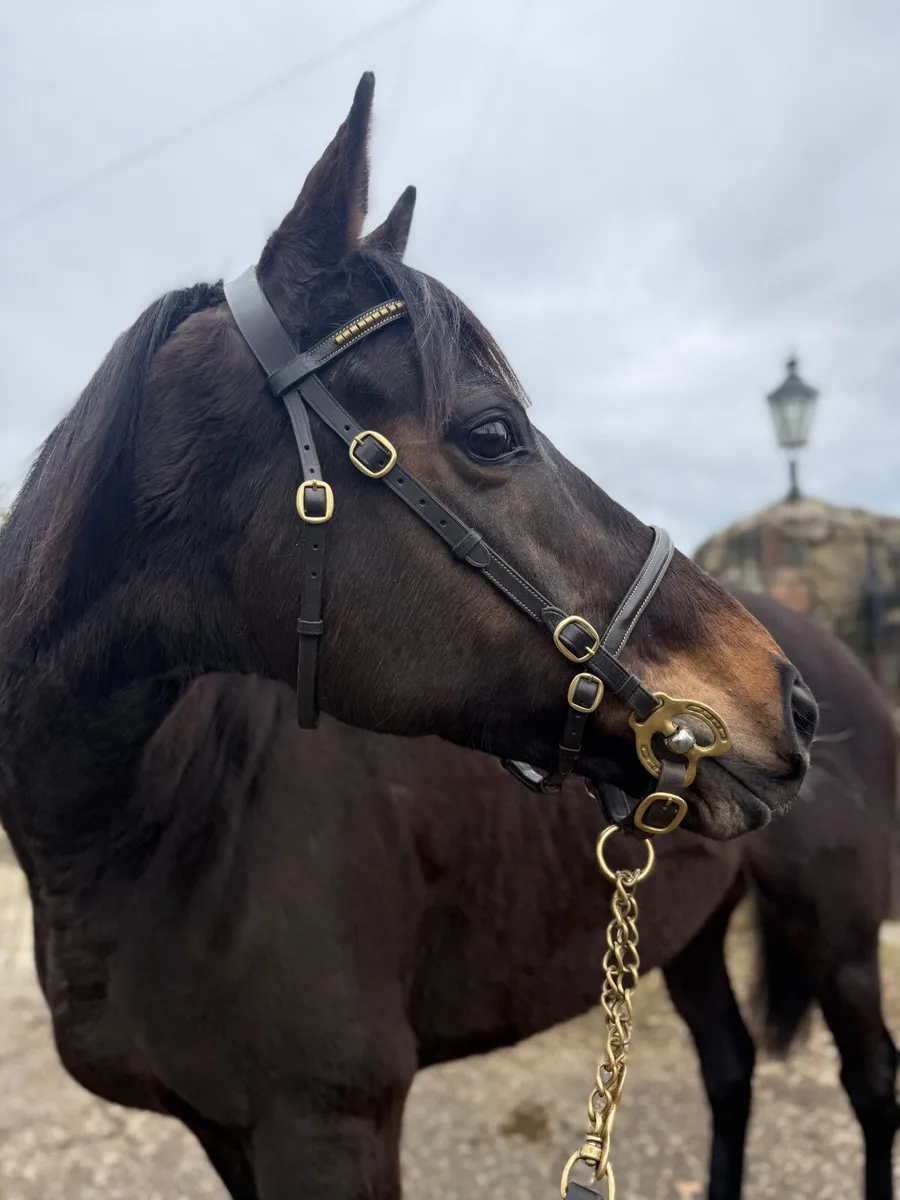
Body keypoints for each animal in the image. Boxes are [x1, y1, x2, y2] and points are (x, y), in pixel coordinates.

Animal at [0, 74, 816, 1198]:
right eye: (492, 432)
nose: (787, 702)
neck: (144, 825)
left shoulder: (333, 1122)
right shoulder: (231, 1129)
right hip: (693, 943)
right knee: (731, 1069)